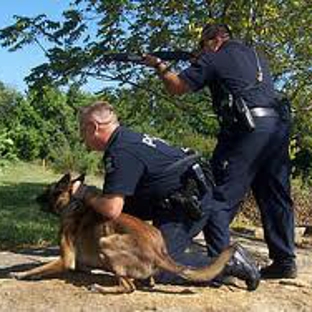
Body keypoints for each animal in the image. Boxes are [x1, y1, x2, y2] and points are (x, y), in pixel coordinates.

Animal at [10, 173, 236, 292]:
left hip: (106, 242)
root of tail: (158, 252)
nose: (35, 198)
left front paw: (22, 274)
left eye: (49, 190)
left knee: (128, 287)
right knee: (145, 281)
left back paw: (101, 288)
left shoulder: (66, 260)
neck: (72, 204)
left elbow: (39, 269)